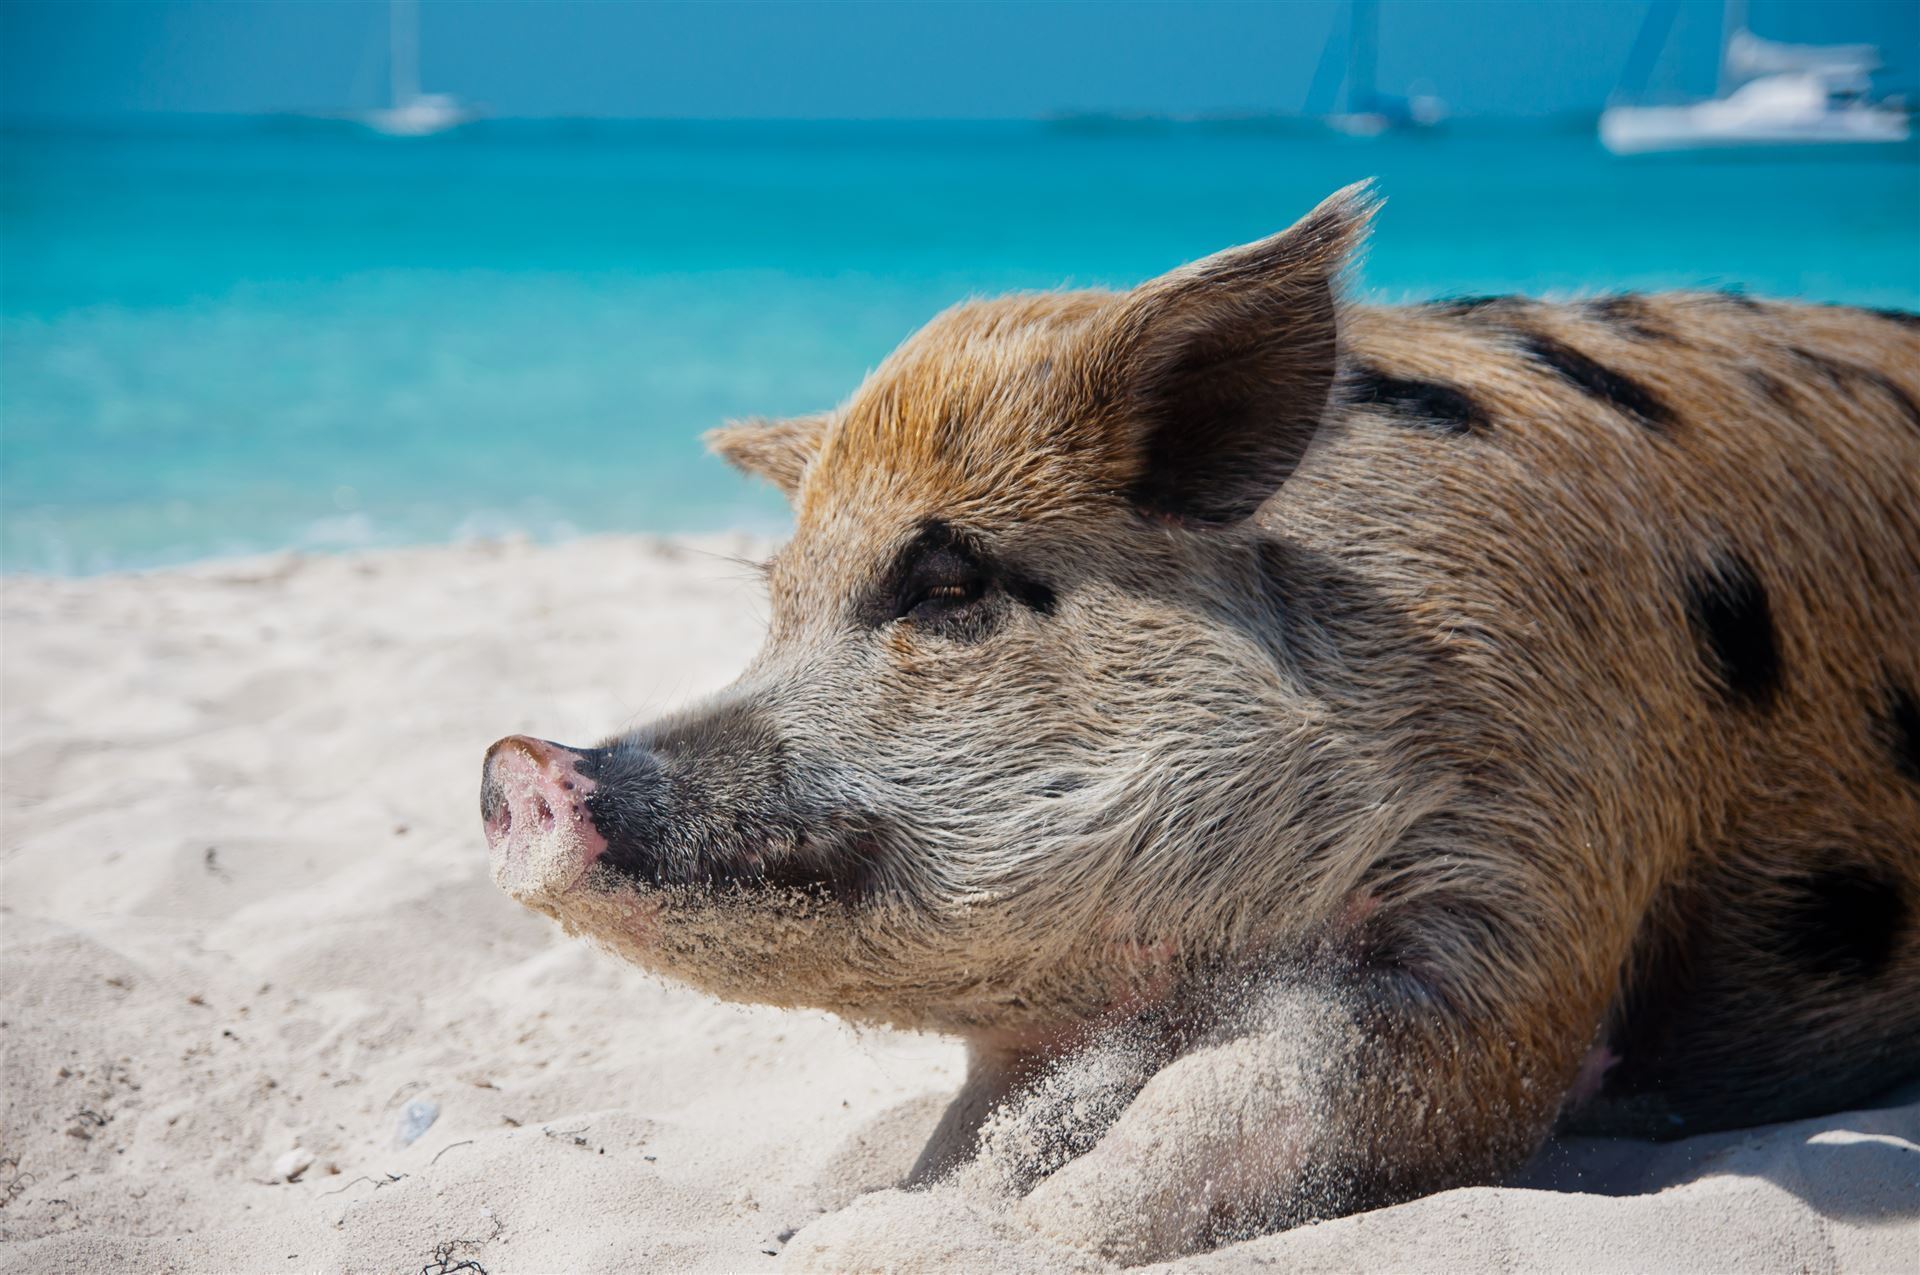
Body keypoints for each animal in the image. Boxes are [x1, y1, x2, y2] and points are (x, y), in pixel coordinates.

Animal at [482, 181, 1920, 1262]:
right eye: (777, 604)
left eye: (945, 582)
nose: (514, 761)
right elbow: (974, 1133)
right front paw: (847, 1224)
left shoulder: (1540, 893)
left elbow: (1250, 1087)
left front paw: (951, 1244)